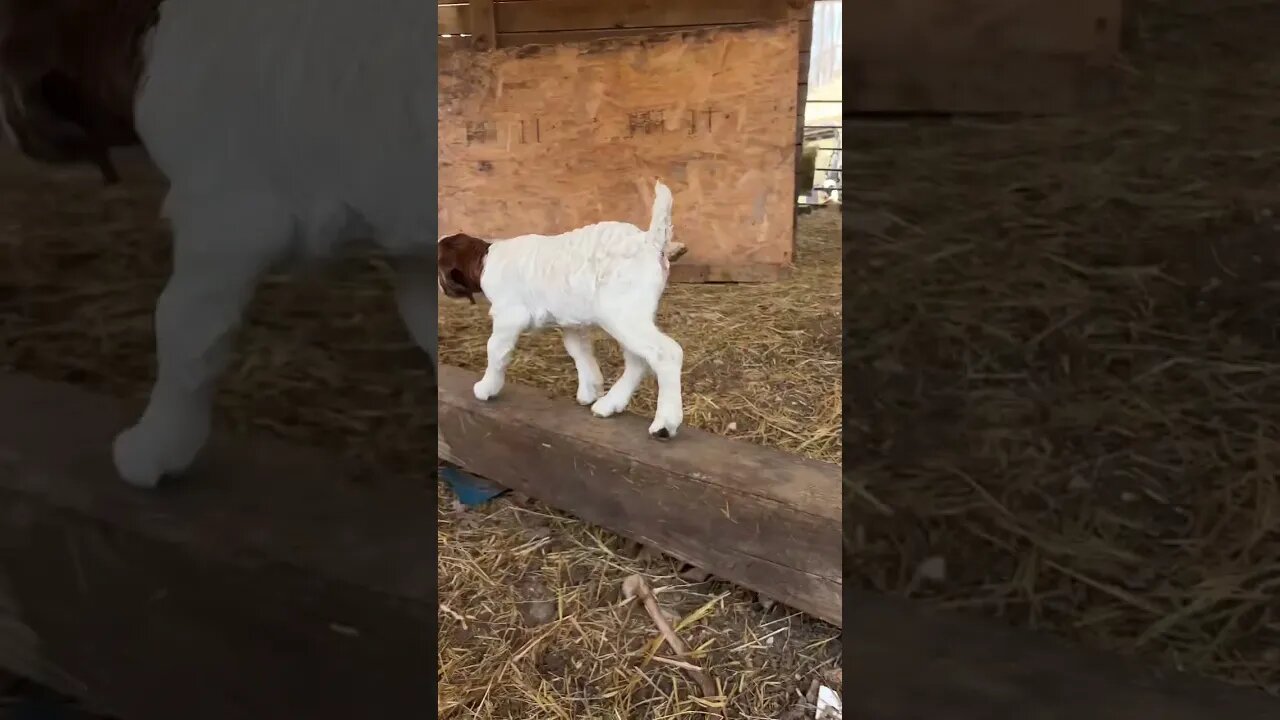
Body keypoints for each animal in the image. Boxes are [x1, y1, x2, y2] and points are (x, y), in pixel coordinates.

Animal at [437, 179, 686, 438]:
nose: (441, 289)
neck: (484, 261)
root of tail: (650, 241)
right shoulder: (572, 321)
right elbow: (579, 350)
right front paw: (590, 390)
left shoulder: (510, 314)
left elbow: (495, 348)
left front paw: (486, 388)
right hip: (630, 314)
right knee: (638, 360)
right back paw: (608, 404)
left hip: (623, 312)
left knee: (665, 353)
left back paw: (665, 424)